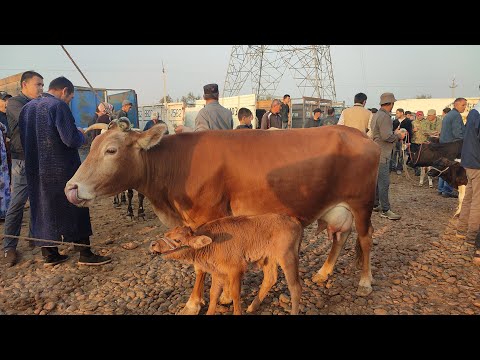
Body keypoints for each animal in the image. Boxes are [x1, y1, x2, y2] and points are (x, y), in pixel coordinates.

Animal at [150, 214, 302, 316]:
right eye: (166, 234)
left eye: (177, 240)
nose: (153, 244)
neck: (211, 244)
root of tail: (294, 220)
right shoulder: (218, 272)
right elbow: (213, 293)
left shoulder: (236, 269)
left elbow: (235, 294)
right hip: (268, 258)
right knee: (270, 278)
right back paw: (252, 307)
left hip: (287, 256)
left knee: (295, 287)